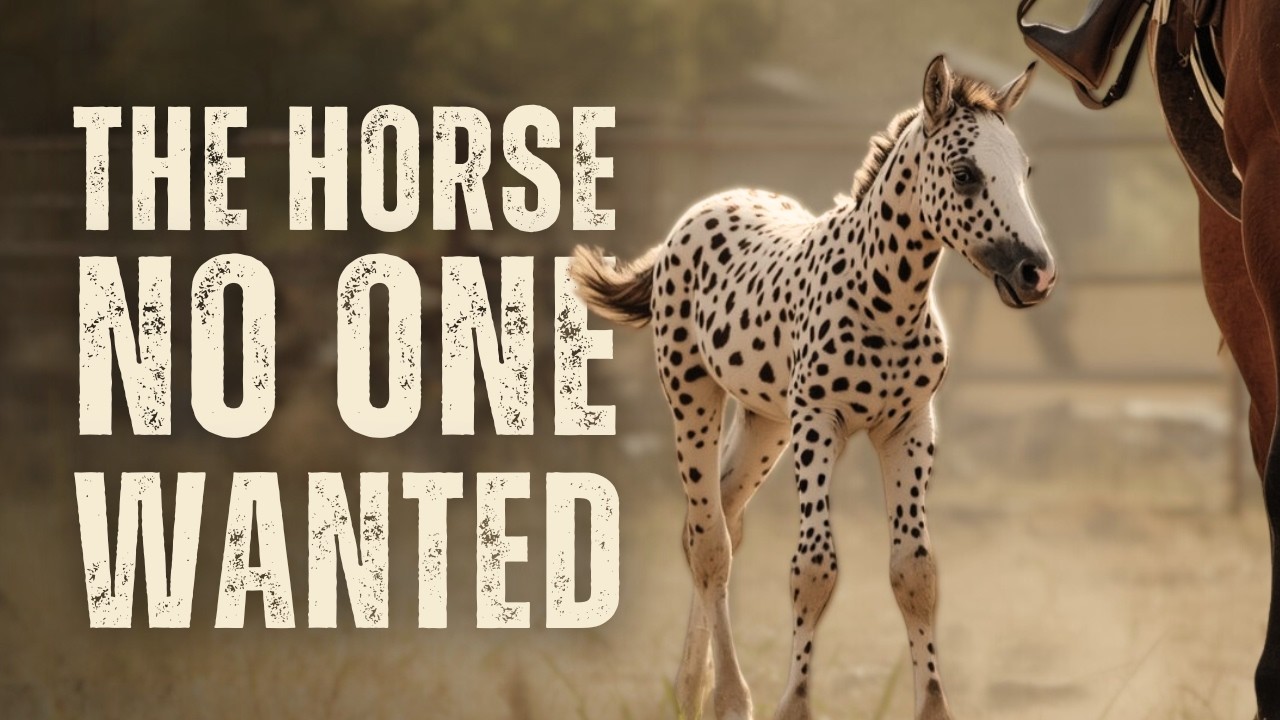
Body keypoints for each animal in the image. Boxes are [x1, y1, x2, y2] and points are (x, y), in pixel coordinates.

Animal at [569, 56, 1052, 720]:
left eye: (1025, 170)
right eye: (965, 173)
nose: (1036, 272)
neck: (886, 301)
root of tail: (698, 213)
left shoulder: (909, 428)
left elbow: (916, 574)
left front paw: (934, 706)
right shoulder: (819, 425)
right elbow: (813, 569)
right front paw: (791, 703)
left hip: (766, 423)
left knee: (715, 523)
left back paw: (691, 691)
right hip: (693, 396)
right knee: (710, 542)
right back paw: (727, 697)